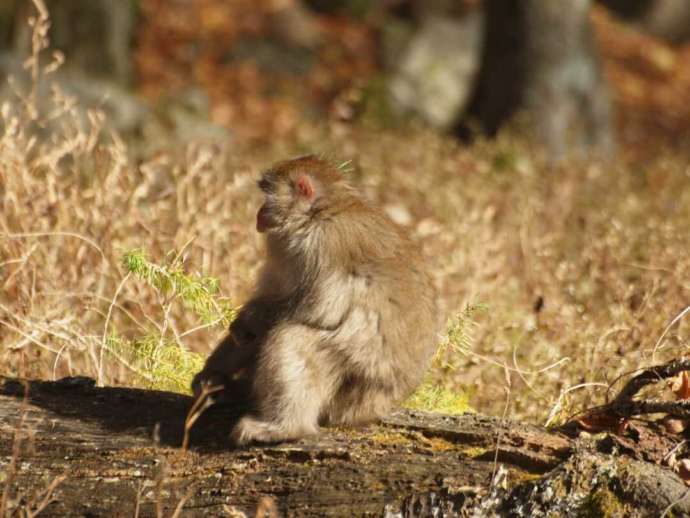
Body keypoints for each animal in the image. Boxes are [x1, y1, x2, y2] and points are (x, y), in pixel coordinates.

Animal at [192, 155, 439, 445]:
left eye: (267, 194)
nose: (259, 212)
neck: (319, 211)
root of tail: (380, 406)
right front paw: (210, 375)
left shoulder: (322, 243)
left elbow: (319, 310)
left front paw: (249, 319)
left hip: (357, 385)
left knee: (294, 337)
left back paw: (285, 427)